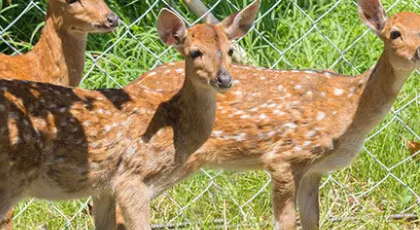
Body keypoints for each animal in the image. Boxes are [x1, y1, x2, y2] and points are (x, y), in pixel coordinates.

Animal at [0, 2, 260, 230]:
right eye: (195, 52)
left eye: (230, 50)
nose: (224, 79)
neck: (175, 127)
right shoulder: (132, 179)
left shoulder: (103, 188)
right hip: (11, 178)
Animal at [127, 0, 420, 229]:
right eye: (394, 33)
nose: (418, 51)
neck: (349, 108)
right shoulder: (285, 157)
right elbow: (286, 222)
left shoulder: (315, 168)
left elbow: (312, 219)